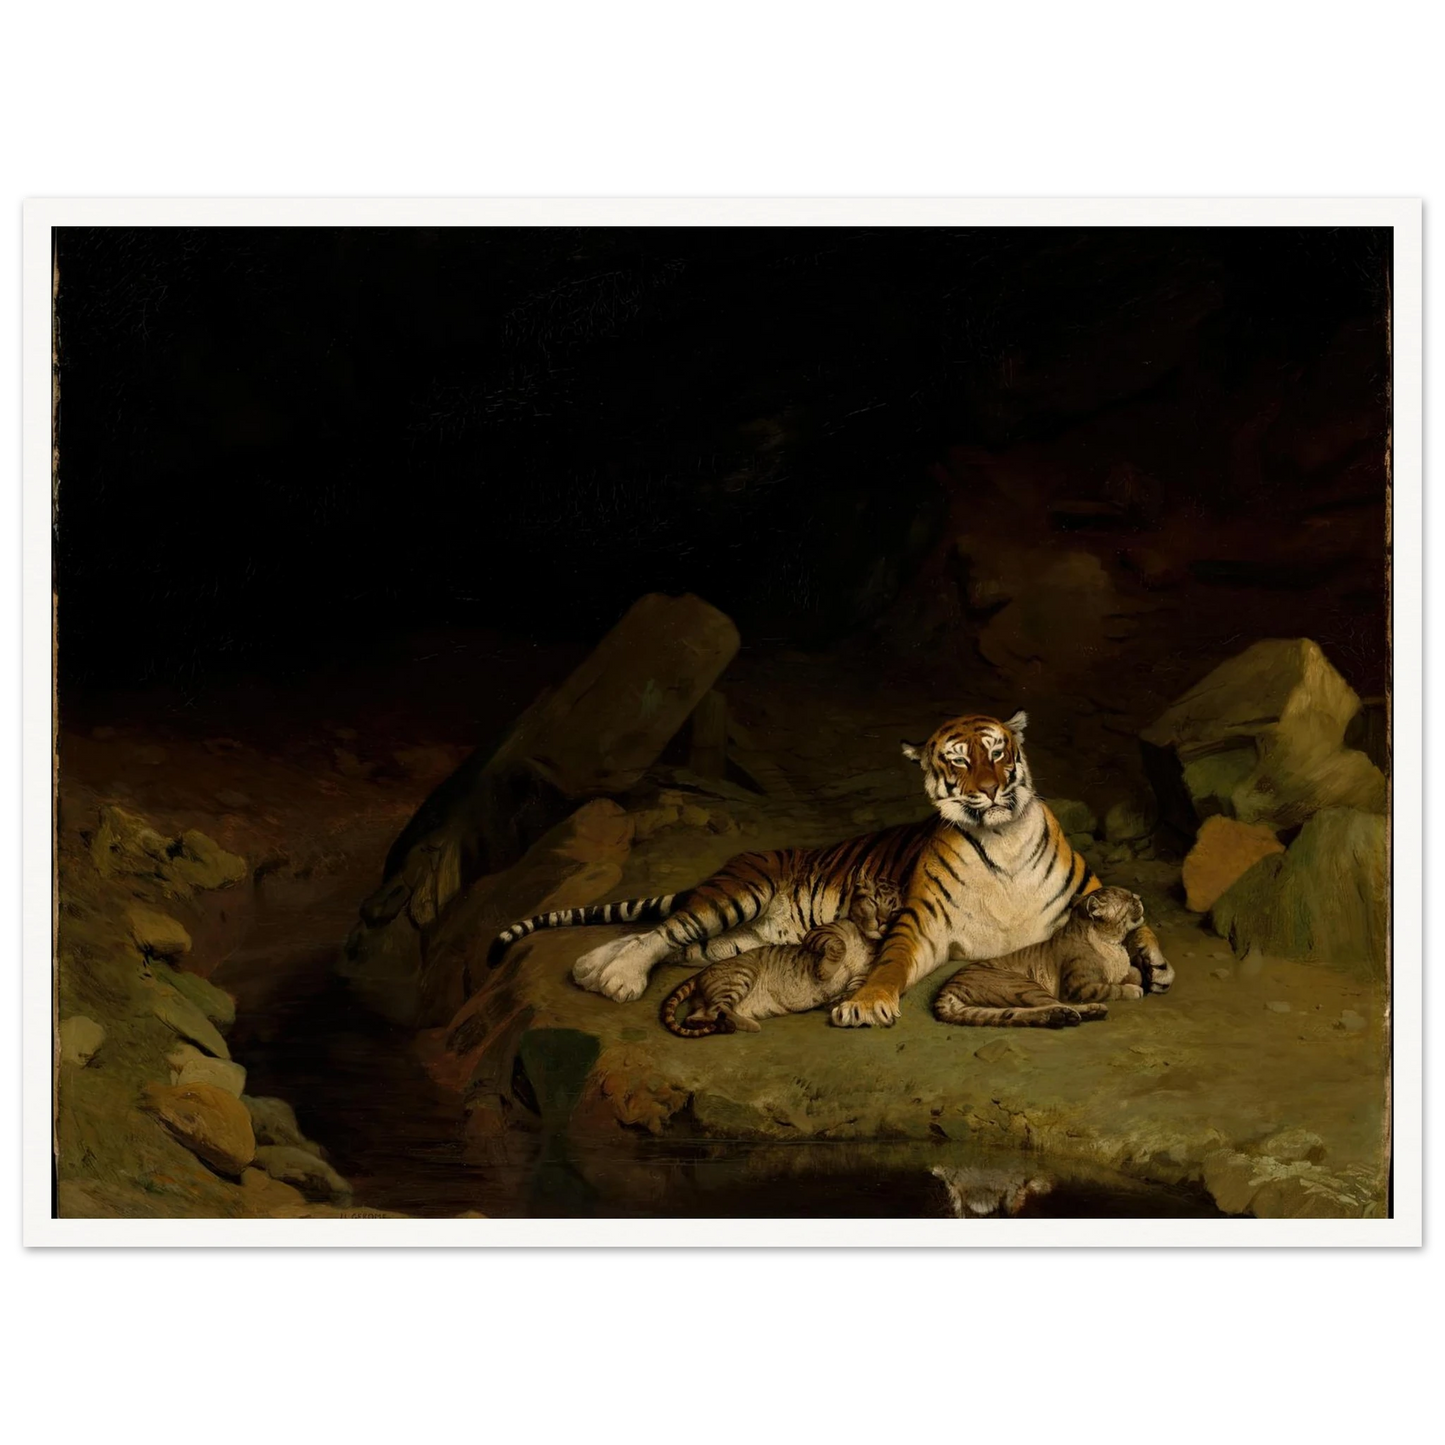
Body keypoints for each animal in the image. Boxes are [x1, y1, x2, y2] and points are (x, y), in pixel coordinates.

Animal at [933, 886, 1173, 1029]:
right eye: (1128, 899)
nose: (1139, 897)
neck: (1112, 943)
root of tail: (945, 990)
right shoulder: (1079, 987)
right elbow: (1111, 988)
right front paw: (1134, 989)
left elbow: (1131, 972)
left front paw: (1144, 974)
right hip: (1024, 985)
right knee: (1056, 1004)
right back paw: (1086, 1012)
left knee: (1014, 1013)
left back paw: (1060, 1017)